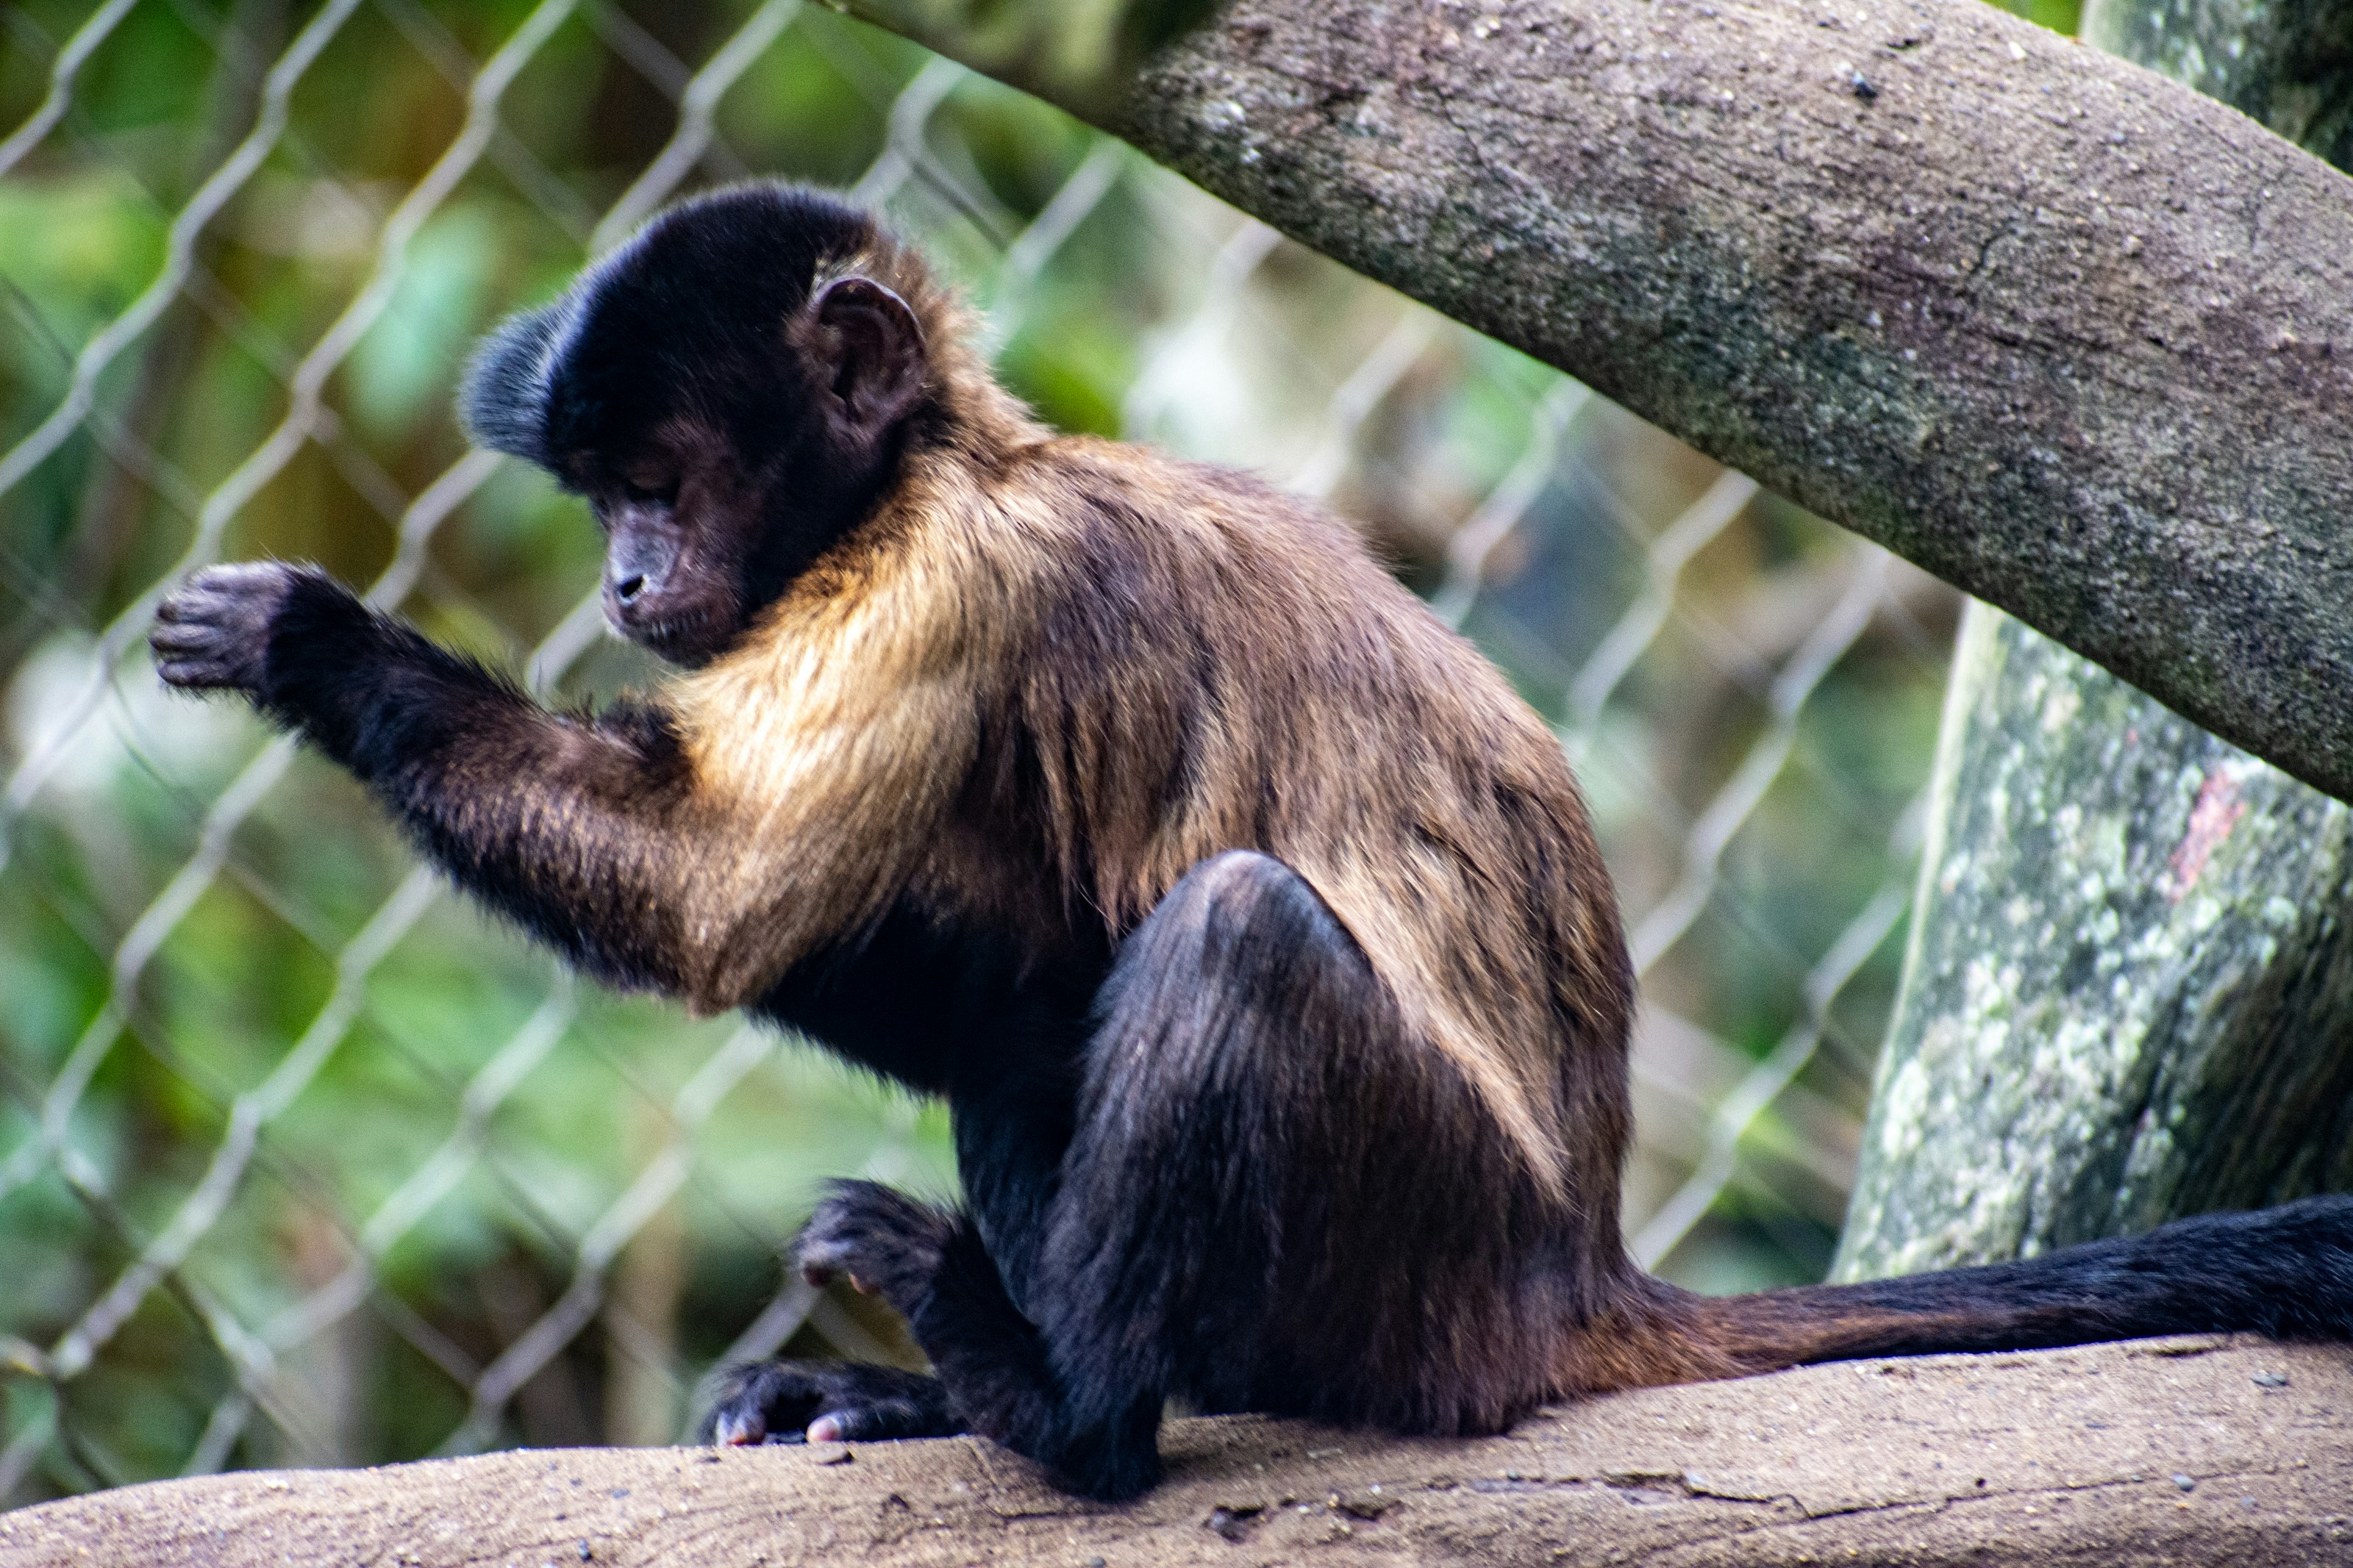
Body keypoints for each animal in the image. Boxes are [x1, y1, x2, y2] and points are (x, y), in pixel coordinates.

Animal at [153, 182, 2353, 1502]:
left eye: (660, 482)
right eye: (603, 493)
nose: (622, 573)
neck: (954, 464)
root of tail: (1577, 1267)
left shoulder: (953, 582)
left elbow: (722, 908)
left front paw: (319, 651)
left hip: (1427, 1264)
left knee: (1231, 933)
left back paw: (1074, 1420)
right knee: (1046, 1001)